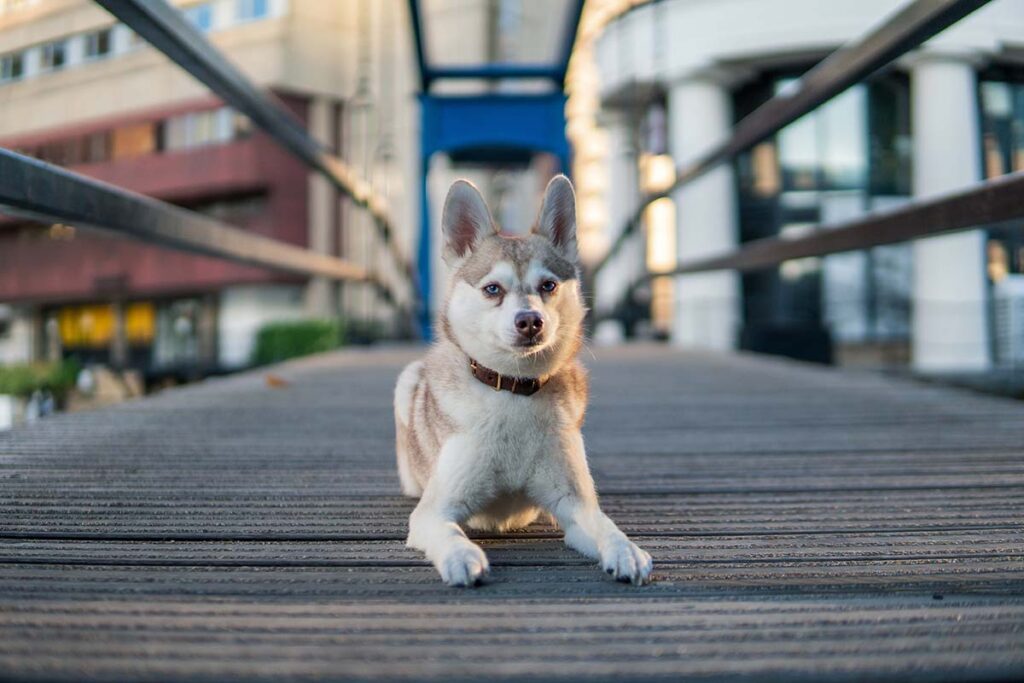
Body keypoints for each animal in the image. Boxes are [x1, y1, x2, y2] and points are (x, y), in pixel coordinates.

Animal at [395, 175, 651, 589]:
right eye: (492, 289)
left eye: (548, 285)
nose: (530, 321)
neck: (514, 389)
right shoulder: (434, 511)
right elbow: (448, 532)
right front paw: (461, 556)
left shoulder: (574, 503)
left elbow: (606, 527)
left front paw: (625, 550)